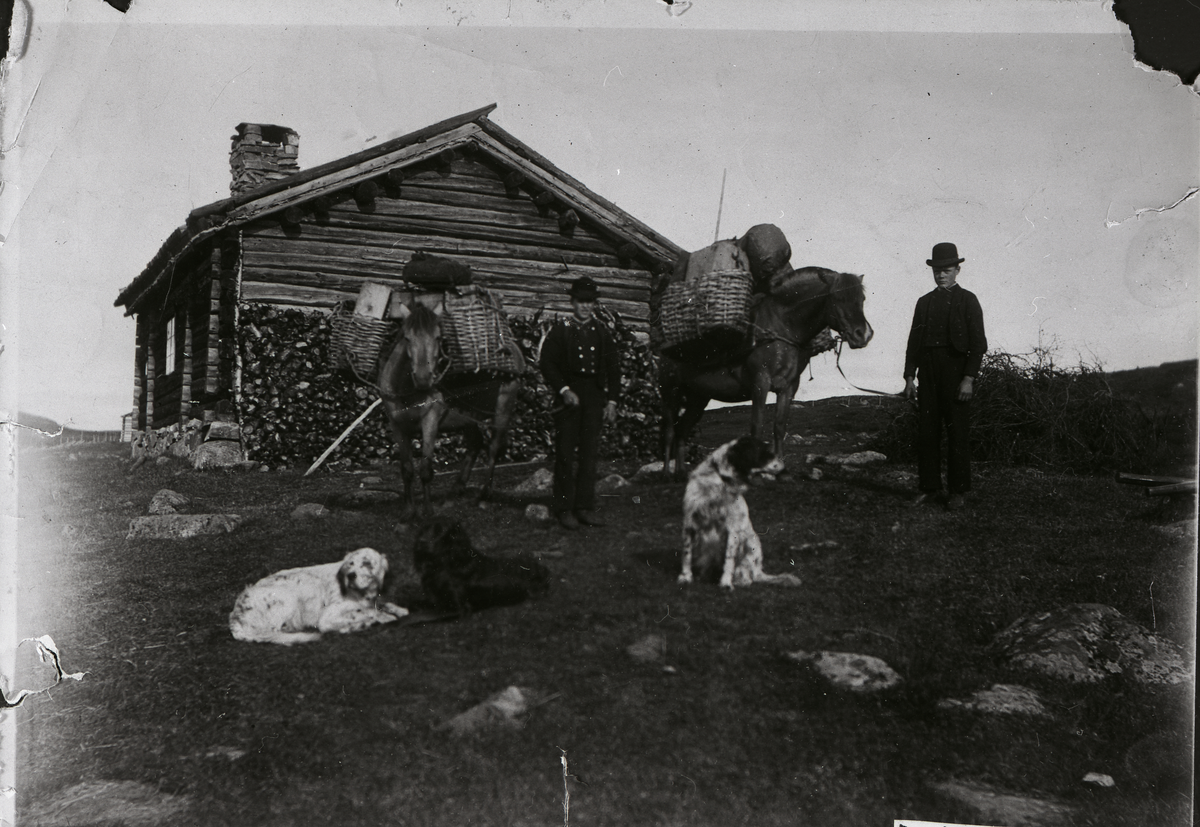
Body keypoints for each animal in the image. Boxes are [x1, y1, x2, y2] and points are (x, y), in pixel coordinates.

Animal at [228, 547, 408, 643]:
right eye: (351, 564)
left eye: (367, 564)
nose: (350, 576)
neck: (363, 593)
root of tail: (235, 614)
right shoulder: (328, 615)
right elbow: (366, 612)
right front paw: (381, 617)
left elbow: (381, 605)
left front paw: (397, 609)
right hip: (290, 595)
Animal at [374, 303, 525, 508]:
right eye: (407, 337)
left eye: (438, 337)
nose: (424, 379)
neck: (406, 390)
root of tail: (513, 348)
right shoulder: (397, 426)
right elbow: (406, 470)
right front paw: (409, 509)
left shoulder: (430, 423)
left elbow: (425, 470)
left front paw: (427, 511)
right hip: (468, 416)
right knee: (475, 443)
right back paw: (457, 487)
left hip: (503, 408)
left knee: (494, 448)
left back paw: (484, 494)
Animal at [662, 267, 878, 475]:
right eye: (838, 298)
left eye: (862, 299)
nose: (863, 334)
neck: (782, 328)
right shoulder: (760, 383)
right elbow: (757, 427)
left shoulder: (788, 387)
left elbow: (779, 427)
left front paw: (780, 467)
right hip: (671, 392)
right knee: (670, 430)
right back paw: (665, 472)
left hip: (698, 397)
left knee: (681, 430)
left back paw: (681, 472)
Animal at [681, 434, 801, 590]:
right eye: (765, 452)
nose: (784, 464)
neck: (722, 479)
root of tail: (759, 571)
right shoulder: (690, 522)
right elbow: (686, 553)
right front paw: (685, 577)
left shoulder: (732, 530)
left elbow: (729, 559)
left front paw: (726, 583)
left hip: (751, 543)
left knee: (748, 578)